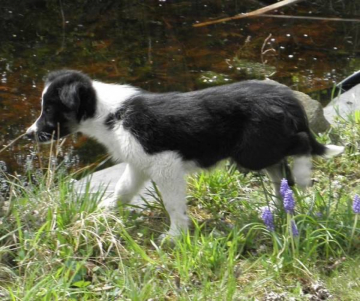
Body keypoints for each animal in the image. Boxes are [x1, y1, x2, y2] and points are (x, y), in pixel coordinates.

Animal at [26, 69, 344, 236]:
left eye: (49, 109)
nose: (29, 134)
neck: (111, 115)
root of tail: (286, 97)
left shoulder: (165, 165)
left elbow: (173, 204)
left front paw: (176, 236)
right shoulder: (138, 165)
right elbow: (123, 190)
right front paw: (103, 211)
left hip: (252, 151)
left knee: (301, 144)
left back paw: (302, 176)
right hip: (262, 147)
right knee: (281, 173)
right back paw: (281, 206)